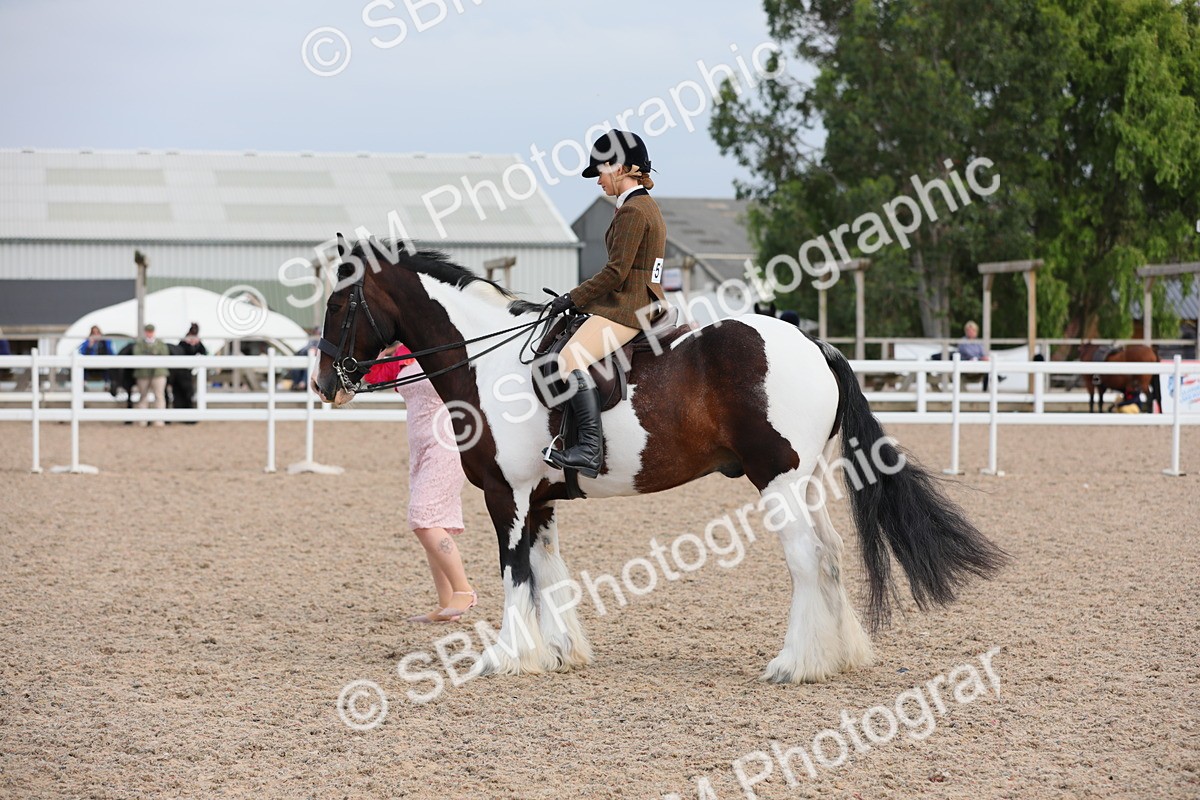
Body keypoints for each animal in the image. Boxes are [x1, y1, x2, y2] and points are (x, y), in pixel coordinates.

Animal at [311, 238, 1007, 684]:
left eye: (340, 305)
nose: (323, 383)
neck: (491, 365)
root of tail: (813, 343)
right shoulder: (540, 500)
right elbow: (548, 573)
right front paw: (557, 652)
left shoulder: (506, 495)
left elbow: (515, 574)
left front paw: (502, 657)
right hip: (806, 482)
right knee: (832, 556)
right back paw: (836, 658)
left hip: (777, 481)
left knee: (807, 560)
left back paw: (792, 665)